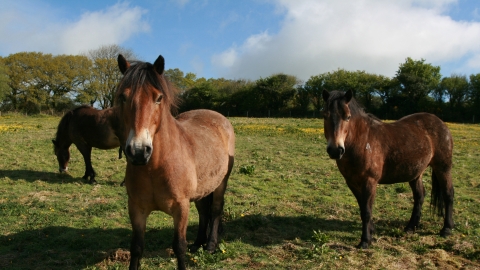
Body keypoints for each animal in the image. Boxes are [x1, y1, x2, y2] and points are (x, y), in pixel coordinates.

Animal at [116, 53, 236, 268]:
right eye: (123, 96)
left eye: (158, 98)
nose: (138, 151)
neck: (155, 168)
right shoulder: (136, 209)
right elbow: (136, 248)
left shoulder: (181, 208)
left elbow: (179, 246)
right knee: (203, 211)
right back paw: (198, 243)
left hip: (221, 183)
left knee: (215, 210)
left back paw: (210, 245)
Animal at [322, 90, 454, 249]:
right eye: (325, 115)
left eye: (347, 117)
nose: (336, 150)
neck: (363, 142)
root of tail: (440, 123)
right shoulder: (352, 182)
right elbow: (362, 207)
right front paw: (371, 231)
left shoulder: (369, 181)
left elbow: (366, 211)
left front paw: (365, 241)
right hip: (415, 173)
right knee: (420, 196)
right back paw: (411, 227)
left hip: (443, 168)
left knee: (448, 194)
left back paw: (447, 229)